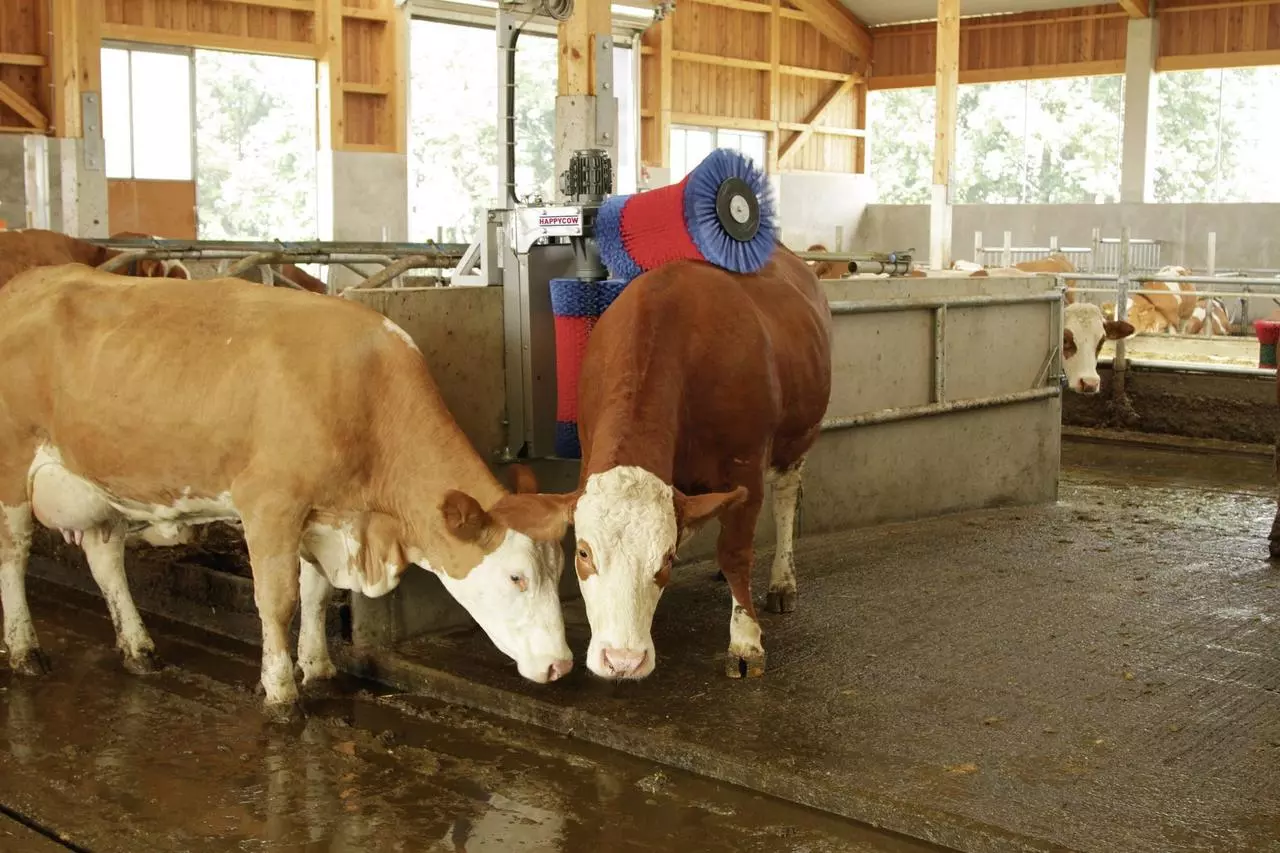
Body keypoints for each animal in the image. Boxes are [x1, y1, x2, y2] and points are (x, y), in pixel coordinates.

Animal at [0, 264, 574, 718]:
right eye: (517, 577)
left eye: (560, 571)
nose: (561, 665)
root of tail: (28, 282)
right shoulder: (270, 504)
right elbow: (278, 600)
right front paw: (281, 694)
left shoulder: (322, 515)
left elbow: (316, 594)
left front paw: (317, 667)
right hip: (12, 470)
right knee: (14, 554)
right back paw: (25, 650)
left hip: (95, 484)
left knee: (106, 561)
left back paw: (138, 648)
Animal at [514, 245, 831, 681]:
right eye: (582, 552)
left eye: (667, 558)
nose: (623, 660)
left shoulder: (746, 467)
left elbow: (736, 553)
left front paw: (745, 641)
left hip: (798, 437)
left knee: (785, 500)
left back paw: (782, 583)